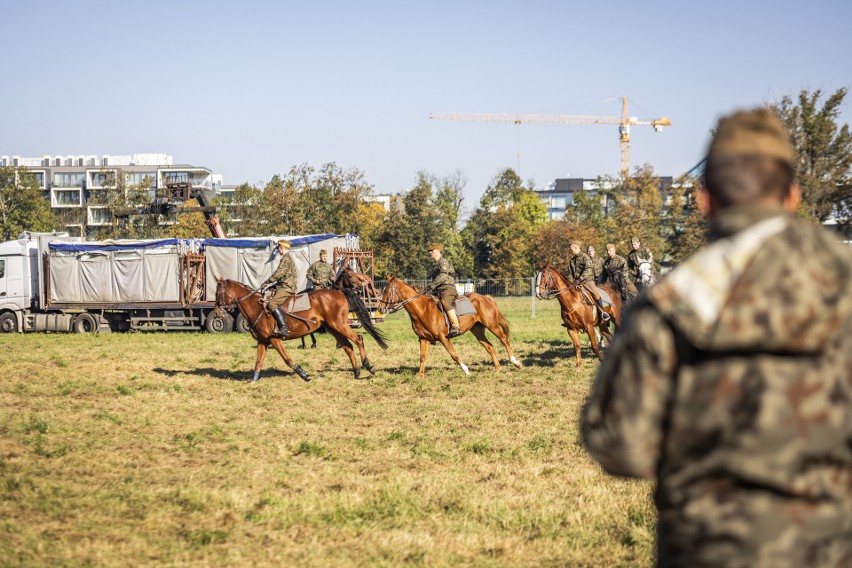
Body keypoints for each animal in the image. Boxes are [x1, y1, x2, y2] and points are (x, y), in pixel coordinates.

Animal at [215, 278, 388, 382]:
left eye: (218, 293)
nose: (217, 312)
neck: (256, 308)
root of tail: (339, 292)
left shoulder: (274, 340)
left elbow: (287, 360)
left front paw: (304, 375)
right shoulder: (262, 341)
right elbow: (258, 362)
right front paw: (254, 380)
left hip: (340, 325)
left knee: (358, 339)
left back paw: (368, 366)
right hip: (333, 328)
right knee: (348, 346)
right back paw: (357, 371)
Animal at [378, 276, 520, 378]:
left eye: (387, 290)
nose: (380, 308)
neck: (423, 310)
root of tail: (484, 297)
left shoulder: (443, 338)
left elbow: (453, 354)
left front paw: (466, 371)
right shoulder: (424, 339)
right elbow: (422, 357)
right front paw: (420, 375)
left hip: (492, 325)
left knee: (503, 338)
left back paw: (515, 362)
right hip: (477, 330)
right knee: (489, 346)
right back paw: (497, 368)